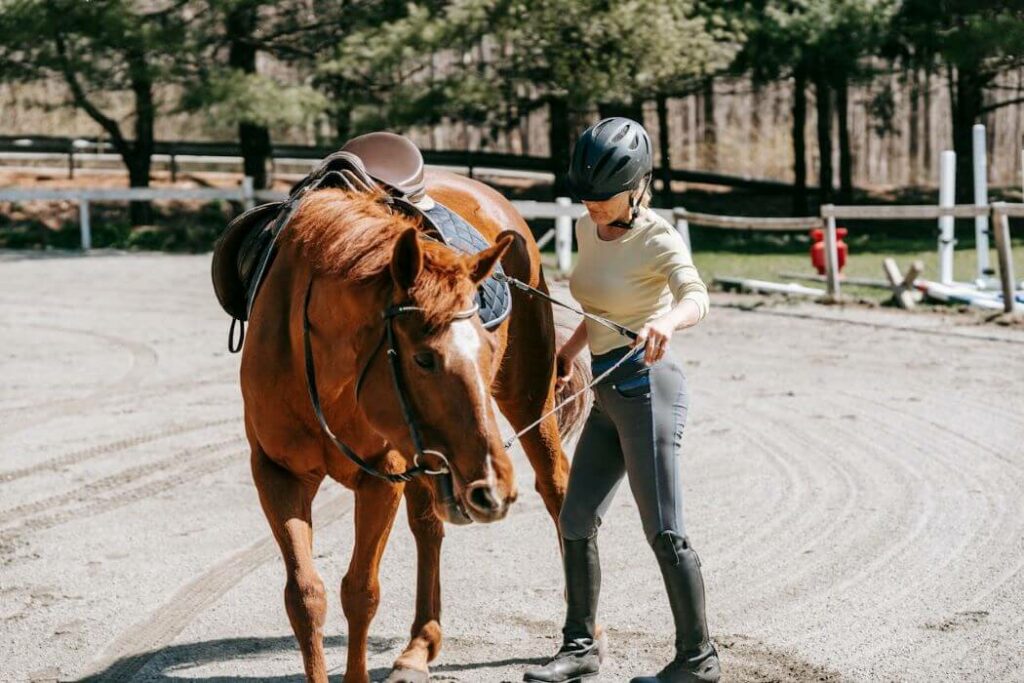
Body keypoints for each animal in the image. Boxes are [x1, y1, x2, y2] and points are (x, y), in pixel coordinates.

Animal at [239, 167, 589, 679]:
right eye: (423, 358)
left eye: (489, 350)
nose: (494, 485)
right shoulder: (276, 474)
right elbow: (305, 596)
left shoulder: (379, 478)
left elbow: (361, 591)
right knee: (428, 528)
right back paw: (419, 646)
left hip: (525, 400)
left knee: (558, 487)